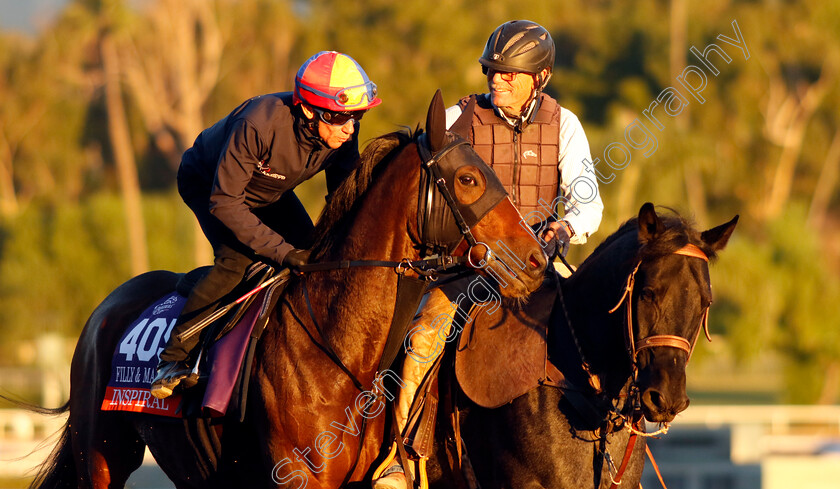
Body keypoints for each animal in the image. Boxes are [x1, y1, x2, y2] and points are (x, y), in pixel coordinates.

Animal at [27, 89, 544, 486]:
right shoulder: (298, 476)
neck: (336, 350)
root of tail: (103, 311)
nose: (534, 257)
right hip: (101, 454)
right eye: (469, 178)